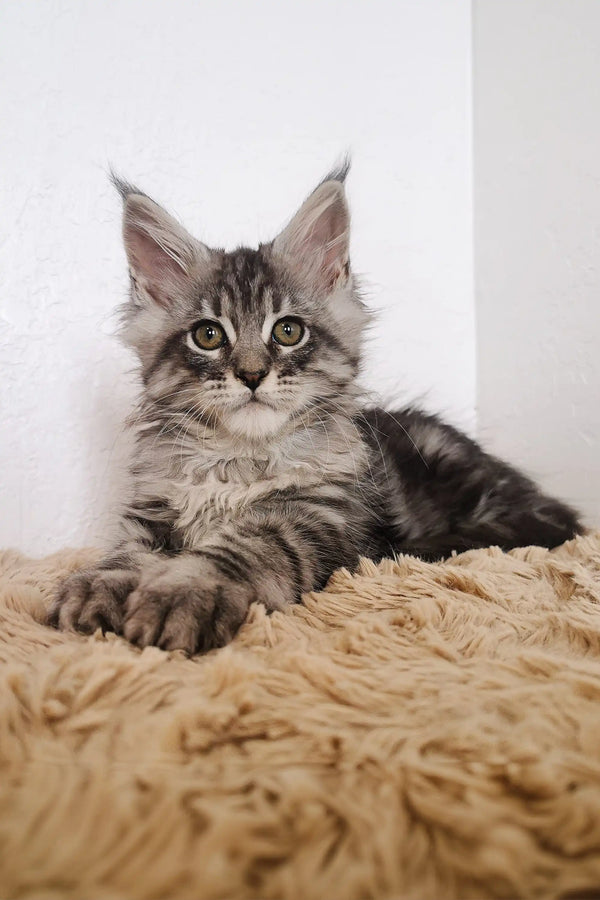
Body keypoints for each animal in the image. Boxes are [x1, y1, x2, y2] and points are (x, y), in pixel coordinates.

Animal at [47, 163, 580, 652]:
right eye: (208, 335)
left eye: (288, 331)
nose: (251, 374)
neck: (235, 461)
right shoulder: (152, 513)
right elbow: (126, 556)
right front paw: (97, 586)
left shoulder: (314, 516)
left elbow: (238, 550)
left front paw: (183, 591)